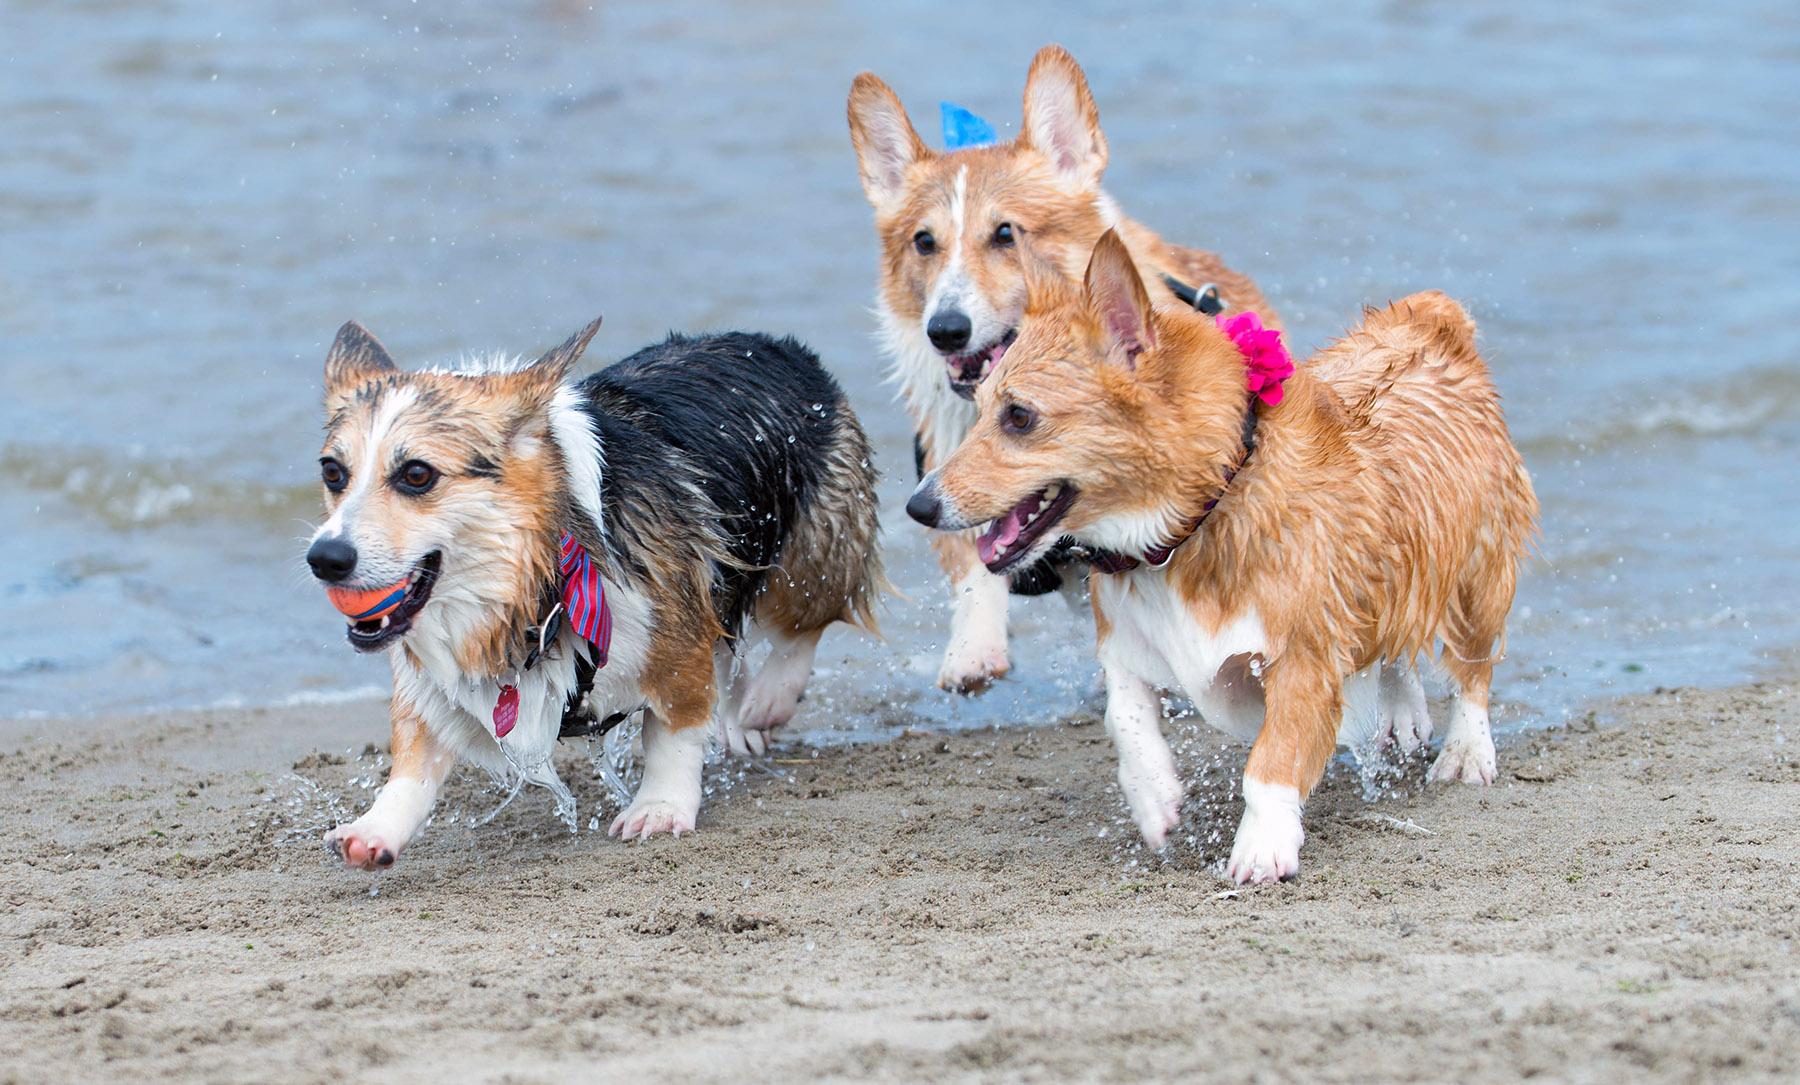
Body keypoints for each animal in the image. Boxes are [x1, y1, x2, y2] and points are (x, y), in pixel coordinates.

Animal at [306, 318, 882, 870]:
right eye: (332, 472)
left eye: (417, 474)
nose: (324, 559)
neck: (541, 578)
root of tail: (781, 346)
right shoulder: (433, 684)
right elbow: (413, 764)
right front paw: (372, 832)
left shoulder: (674, 636)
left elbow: (674, 730)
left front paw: (659, 809)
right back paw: (741, 721)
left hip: (808, 556)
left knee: (801, 625)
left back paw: (768, 699)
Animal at [907, 233, 1540, 888]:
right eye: (980, 407)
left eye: (1020, 416)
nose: (918, 505)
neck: (1193, 521)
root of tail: (1429, 321)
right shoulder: (1123, 642)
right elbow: (1124, 718)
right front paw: (1155, 801)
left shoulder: (1300, 659)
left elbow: (1271, 762)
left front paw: (1261, 848)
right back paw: (1401, 708)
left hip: (1478, 583)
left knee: (1473, 670)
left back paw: (1466, 753)